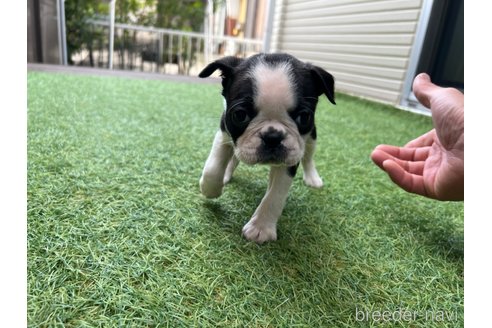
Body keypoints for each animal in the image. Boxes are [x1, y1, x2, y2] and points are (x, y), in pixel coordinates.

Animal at [197, 53, 334, 243]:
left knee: (308, 158)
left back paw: (312, 178)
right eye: (240, 115)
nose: (273, 136)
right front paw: (210, 189)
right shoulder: (224, 131)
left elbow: (275, 195)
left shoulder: (291, 157)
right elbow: (213, 167)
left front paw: (261, 227)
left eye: (304, 116)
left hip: (311, 137)